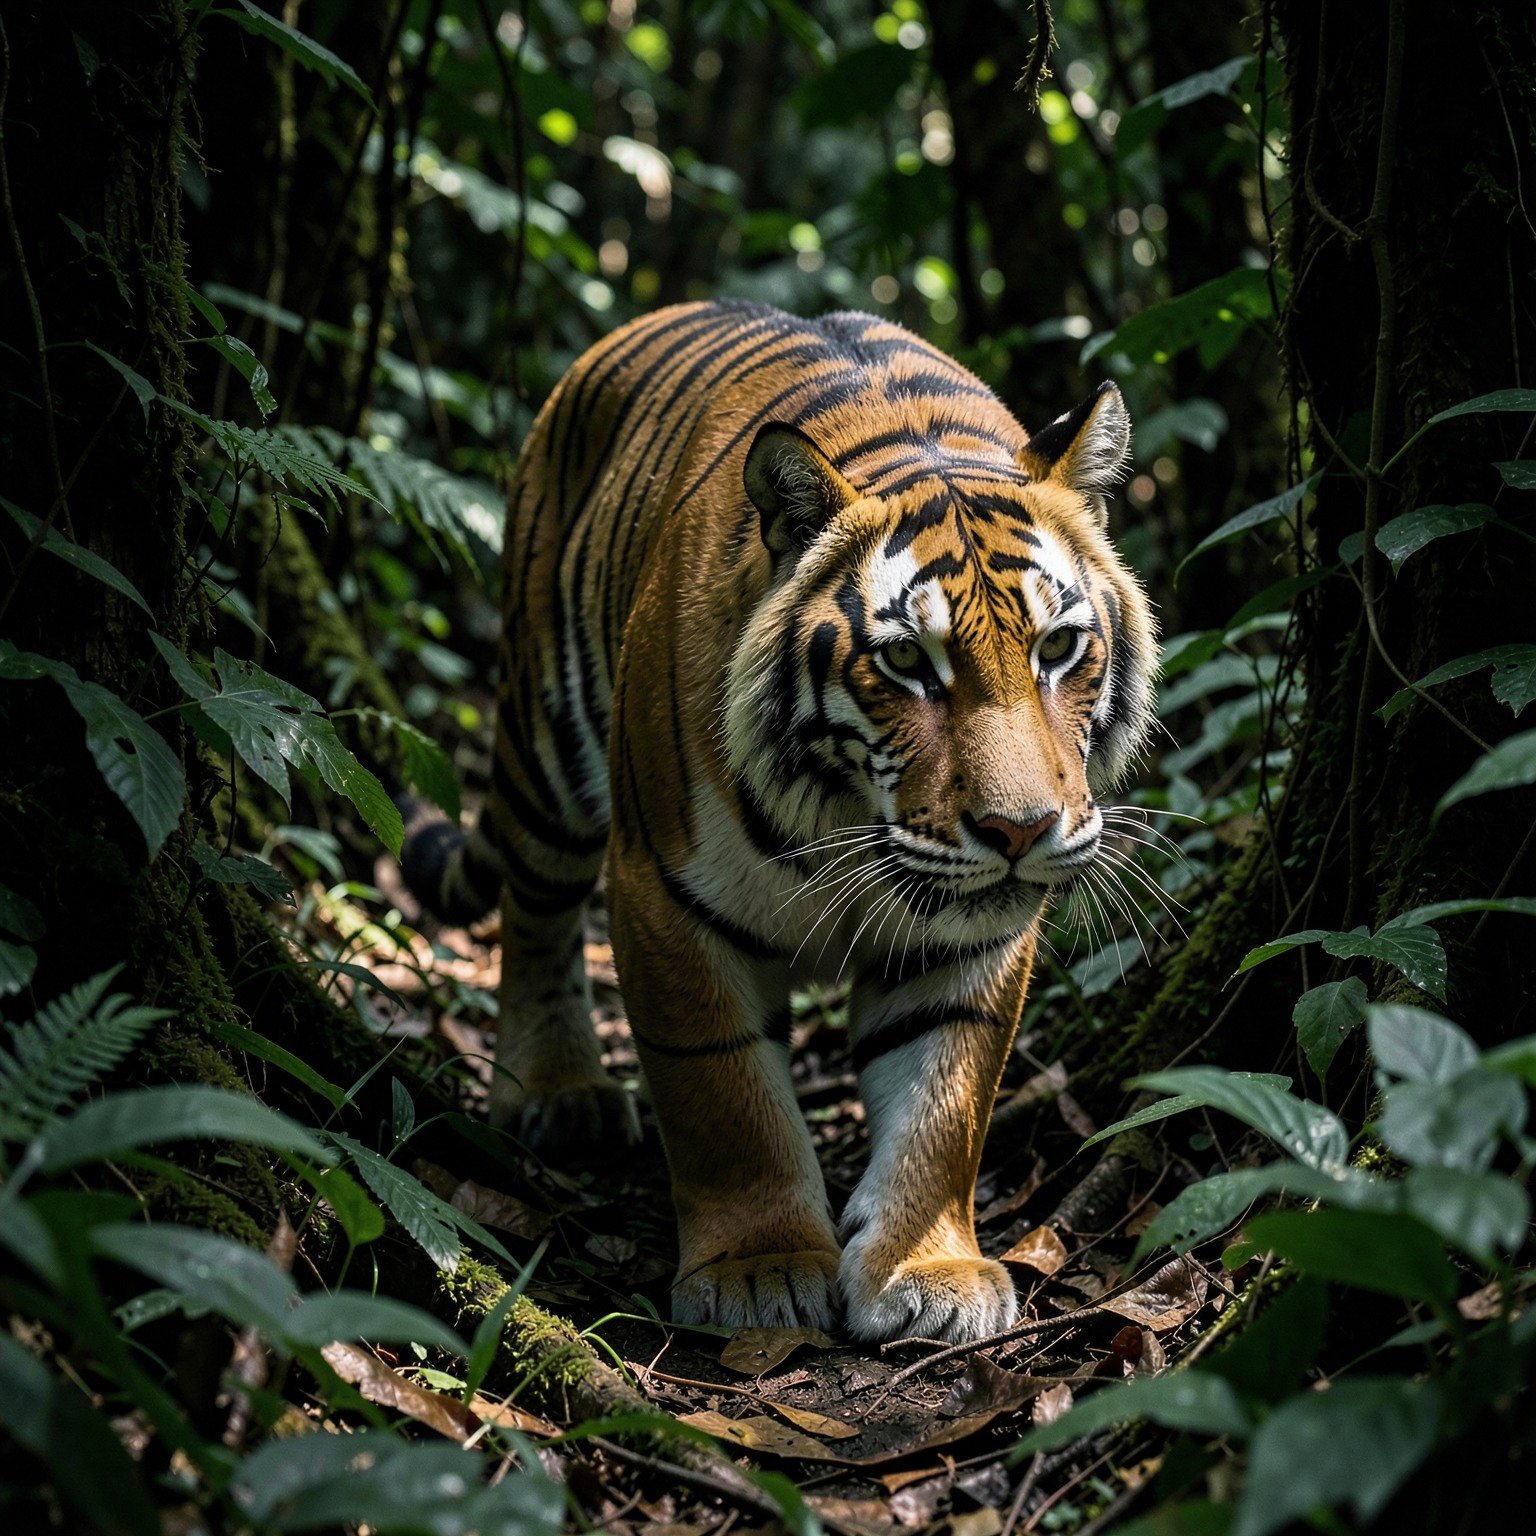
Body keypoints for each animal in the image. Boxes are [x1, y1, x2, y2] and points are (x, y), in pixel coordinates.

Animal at [403, 299, 1157, 1345]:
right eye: (907, 663)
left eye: (1058, 648)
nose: (1021, 832)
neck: (852, 820)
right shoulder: (664, 896)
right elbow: (724, 1098)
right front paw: (756, 1271)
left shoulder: (974, 934)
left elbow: (945, 1102)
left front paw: (929, 1271)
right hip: (545, 739)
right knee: (535, 907)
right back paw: (557, 1092)